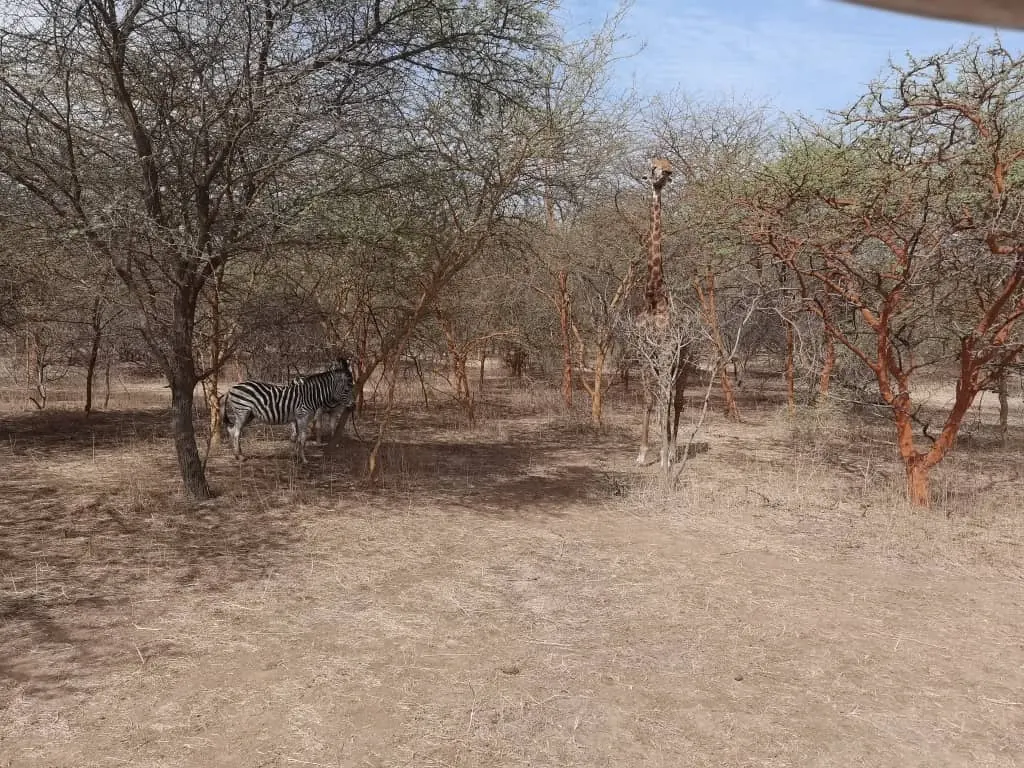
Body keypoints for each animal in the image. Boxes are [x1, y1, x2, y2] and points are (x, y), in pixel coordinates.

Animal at [220, 359, 356, 463]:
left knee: (233, 430)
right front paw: (303, 459)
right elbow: (303, 437)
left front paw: (296, 455)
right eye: (347, 389)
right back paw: (240, 457)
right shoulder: (302, 416)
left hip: (249, 415)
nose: (353, 406)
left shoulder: (300, 418)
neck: (311, 395)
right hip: (242, 412)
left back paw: (238, 454)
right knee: (236, 432)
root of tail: (232, 387)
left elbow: (298, 438)